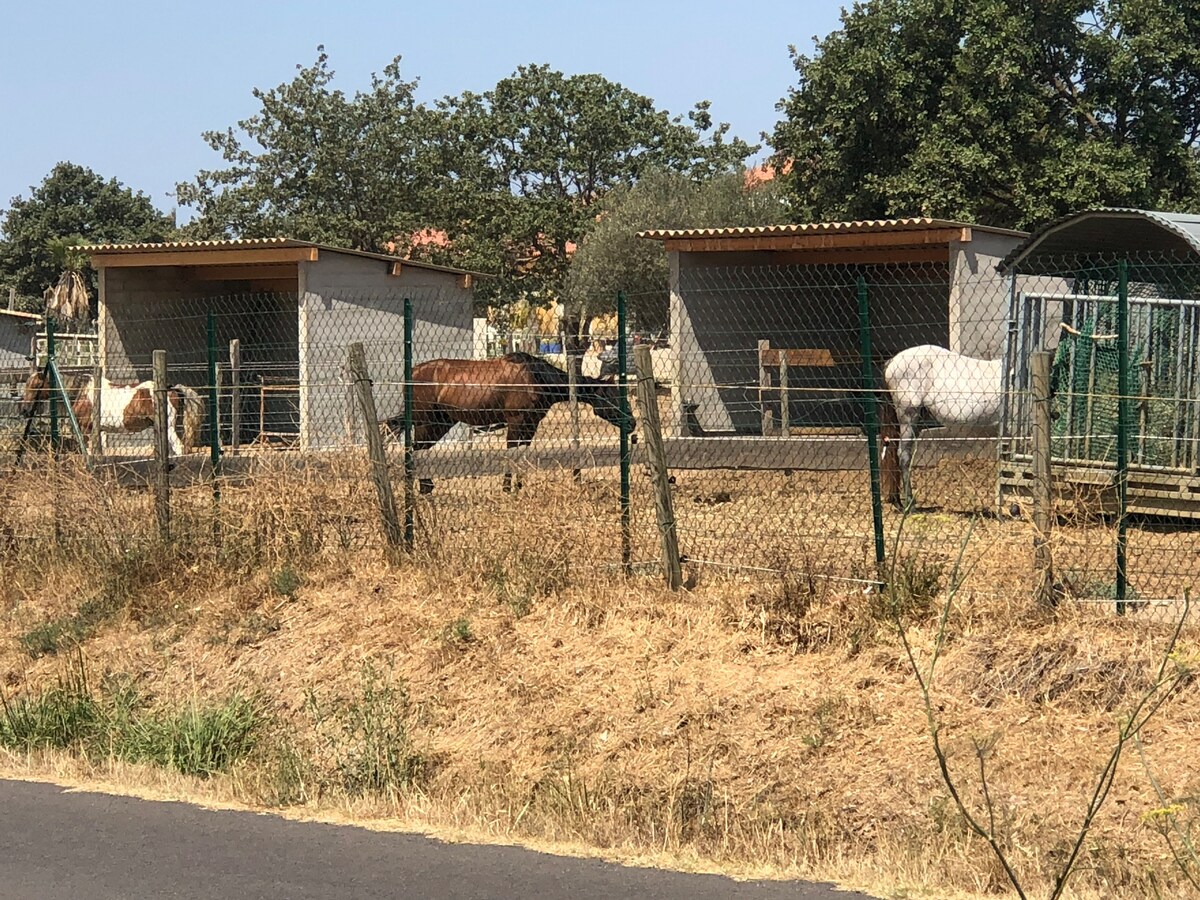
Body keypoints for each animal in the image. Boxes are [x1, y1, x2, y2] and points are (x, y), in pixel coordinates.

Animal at [384, 352, 628, 494]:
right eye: (611, 396)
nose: (632, 422)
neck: (536, 378)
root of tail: (412, 372)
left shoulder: (530, 425)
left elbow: (522, 455)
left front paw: (518, 488)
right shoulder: (516, 422)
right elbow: (511, 453)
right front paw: (507, 488)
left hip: (440, 423)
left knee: (420, 450)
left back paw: (426, 487)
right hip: (425, 423)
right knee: (415, 450)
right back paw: (423, 489)